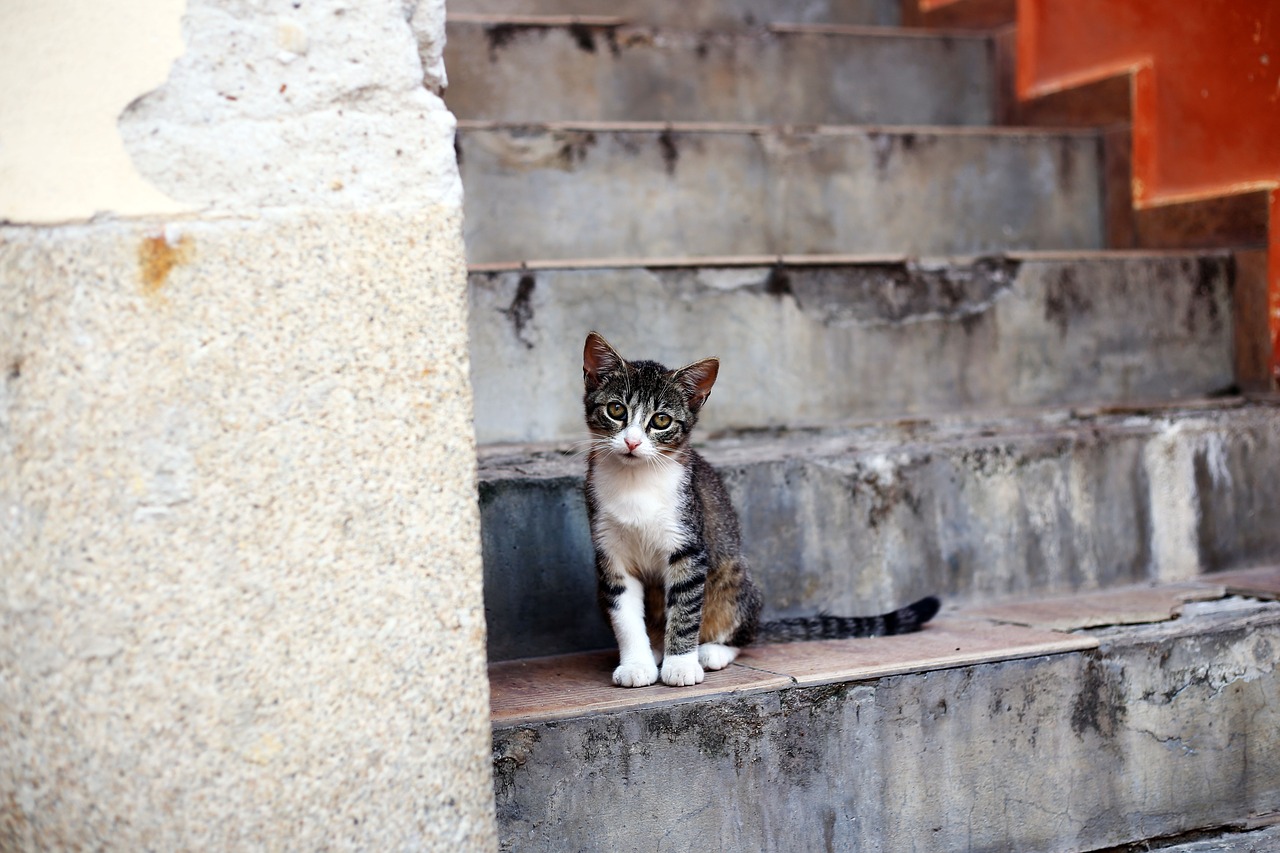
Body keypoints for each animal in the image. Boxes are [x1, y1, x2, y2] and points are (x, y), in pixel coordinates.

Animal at [583, 327, 942, 686]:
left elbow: (685, 607)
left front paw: (681, 665)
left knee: (742, 633)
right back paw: (657, 648)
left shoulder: (690, 543)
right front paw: (636, 664)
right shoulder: (610, 552)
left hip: (733, 577)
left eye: (660, 420)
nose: (632, 442)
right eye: (616, 410)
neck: (635, 481)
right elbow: (625, 614)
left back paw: (710, 651)